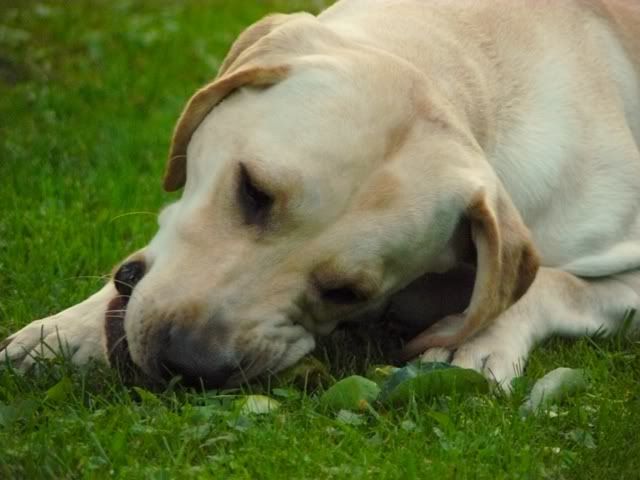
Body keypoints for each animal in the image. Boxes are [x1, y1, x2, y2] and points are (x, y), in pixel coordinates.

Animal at [2, 0, 639, 390]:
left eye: (346, 292)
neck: (468, 62)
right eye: (253, 191)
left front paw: (477, 338)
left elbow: (549, 284)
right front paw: (70, 328)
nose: (186, 361)